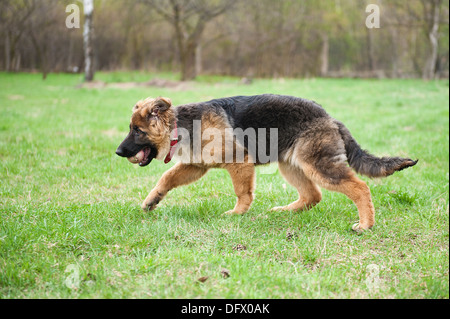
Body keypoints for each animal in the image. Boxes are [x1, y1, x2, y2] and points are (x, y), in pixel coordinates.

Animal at [114, 95, 416, 232]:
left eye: (137, 131)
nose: (117, 152)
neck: (181, 126)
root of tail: (330, 118)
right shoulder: (195, 166)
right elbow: (166, 178)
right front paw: (151, 201)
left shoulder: (239, 162)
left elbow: (242, 191)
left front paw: (237, 213)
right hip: (292, 165)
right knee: (313, 195)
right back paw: (285, 211)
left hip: (318, 166)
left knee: (359, 187)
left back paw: (365, 224)